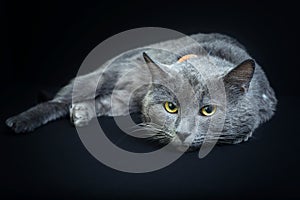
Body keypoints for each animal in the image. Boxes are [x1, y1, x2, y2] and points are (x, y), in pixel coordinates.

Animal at [4, 32, 276, 150]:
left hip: (127, 96)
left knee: (106, 101)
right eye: (171, 107)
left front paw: (241, 134)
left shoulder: (268, 103)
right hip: (110, 71)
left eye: (208, 110)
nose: (182, 133)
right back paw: (19, 122)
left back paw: (81, 112)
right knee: (60, 100)